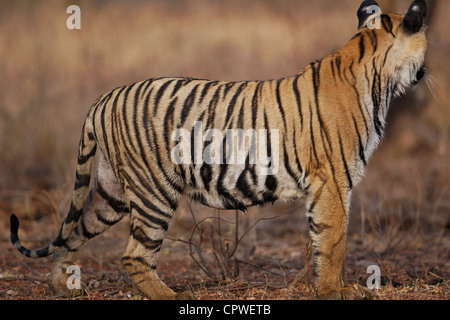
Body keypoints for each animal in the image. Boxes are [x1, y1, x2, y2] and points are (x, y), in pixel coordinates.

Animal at [8, 0, 428, 300]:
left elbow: (322, 239)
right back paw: (168, 296)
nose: (426, 72)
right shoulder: (333, 183)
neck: (377, 78)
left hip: (112, 192)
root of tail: (103, 99)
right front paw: (335, 291)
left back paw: (63, 285)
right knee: (134, 255)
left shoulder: (327, 186)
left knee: (73, 231)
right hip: (154, 191)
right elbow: (333, 240)